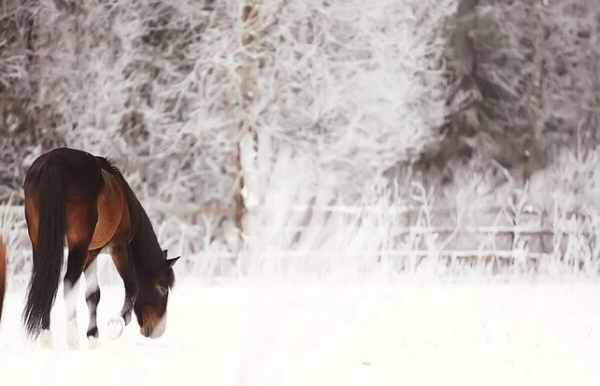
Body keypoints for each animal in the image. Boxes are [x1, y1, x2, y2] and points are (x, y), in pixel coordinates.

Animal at [21, 148, 180, 346]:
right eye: (163, 288)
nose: (158, 331)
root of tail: (53, 163)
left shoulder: (91, 252)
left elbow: (93, 295)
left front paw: (93, 336)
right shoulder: (118, 247)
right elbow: (132, 286)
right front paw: (116, 326)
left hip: (41, 244)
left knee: (46, 283)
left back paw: (46, 337)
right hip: (78, 246)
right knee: (69, 283)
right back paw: (72, 336)